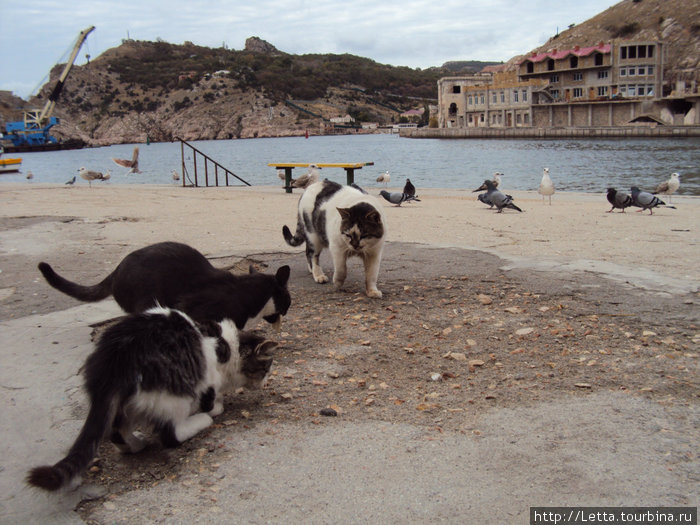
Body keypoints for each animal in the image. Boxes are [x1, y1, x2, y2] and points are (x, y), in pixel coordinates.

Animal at [25, 304, 276, 494]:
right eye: (265, 368)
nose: (265, 382)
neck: (227, 345)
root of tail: (114, 359)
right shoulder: (209, 376)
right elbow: (212, 400)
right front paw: (214, 407)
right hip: (174, 394)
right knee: (170, 434)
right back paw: (200, 421)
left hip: (124, 403)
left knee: (116, 432)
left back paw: (135, 444)